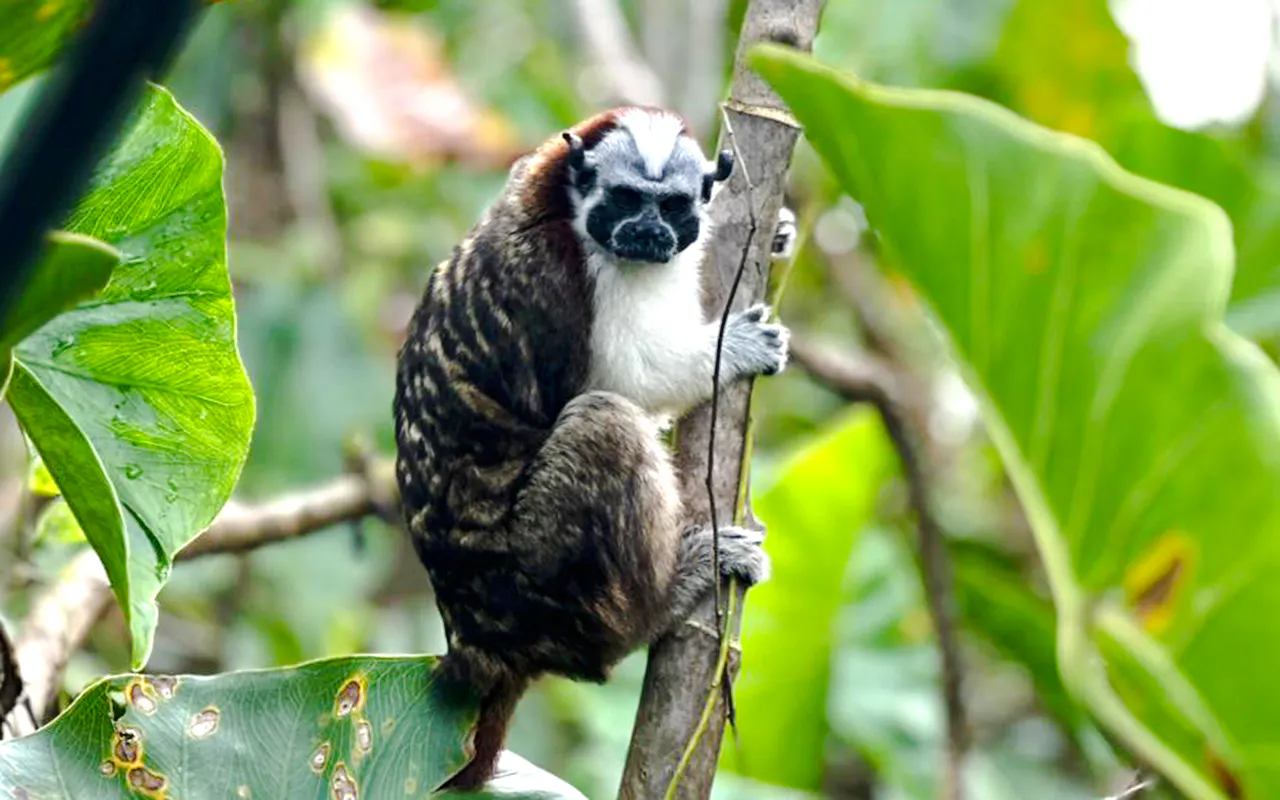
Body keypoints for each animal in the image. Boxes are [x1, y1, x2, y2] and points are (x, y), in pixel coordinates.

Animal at [393, 106, 790, 791]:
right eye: (626, 200)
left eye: (673, 206)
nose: (649, 233)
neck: (564, 211)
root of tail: (478, 640)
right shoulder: (567, 274)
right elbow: (628, 381)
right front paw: (733, 347)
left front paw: (781, 233)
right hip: (540, 577)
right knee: (603, 423)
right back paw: (665, 601)